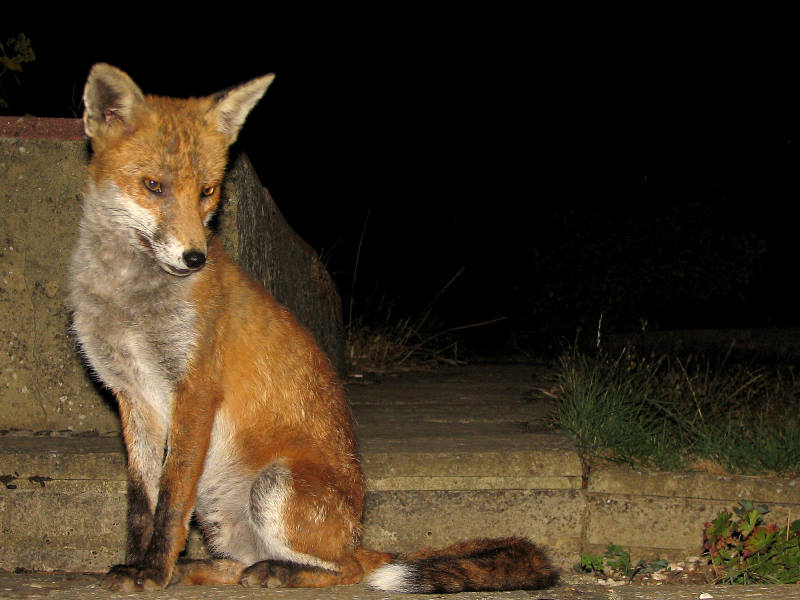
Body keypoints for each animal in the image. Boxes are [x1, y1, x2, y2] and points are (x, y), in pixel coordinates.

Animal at [67, 63, 556, 592]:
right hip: (218, 505)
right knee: (241, 562)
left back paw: (277, 572)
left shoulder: (194, 389)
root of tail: (357, 534)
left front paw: (154, 572)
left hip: (273, 488)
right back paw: (205, 568)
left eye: (207, 191)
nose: (195, 258)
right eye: (154, 186)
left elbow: (171, 500)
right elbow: (142, 503)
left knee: (344, 570)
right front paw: (139, 565)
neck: (127, 300)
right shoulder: (132, 397)